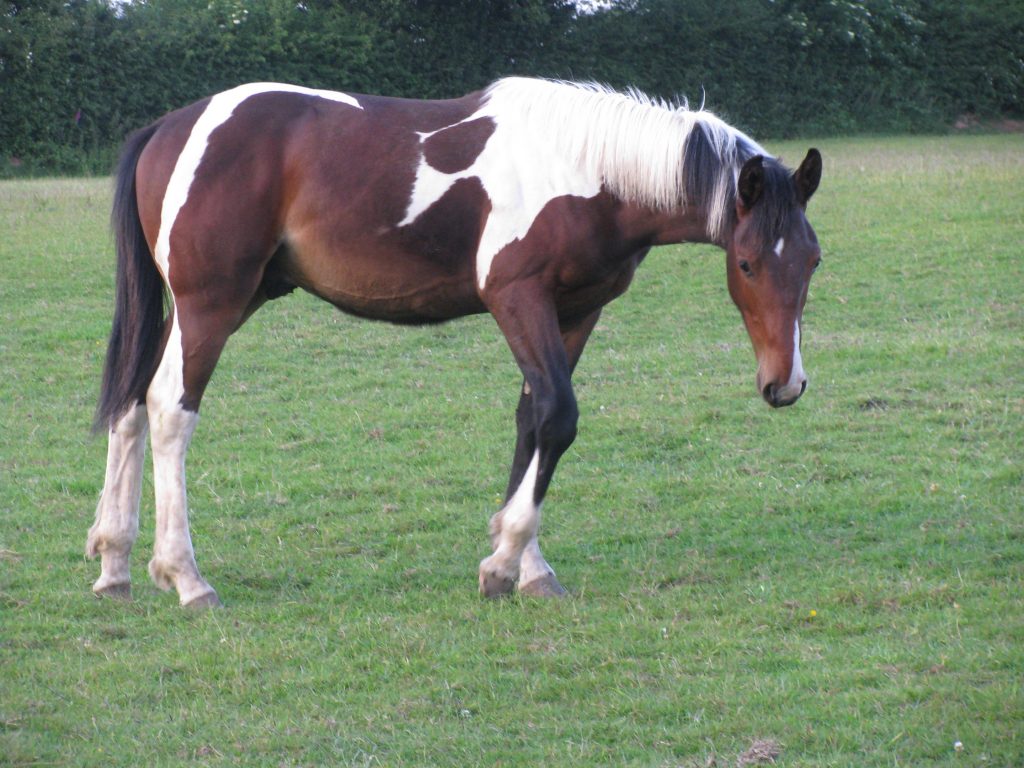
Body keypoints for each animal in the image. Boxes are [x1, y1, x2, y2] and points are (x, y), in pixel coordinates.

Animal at [88, 78, 823, 606]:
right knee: (169, 409)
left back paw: (115, 563)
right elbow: (558, 416)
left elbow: (534, 422)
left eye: (813, 261)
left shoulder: (574, 312)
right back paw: (185, 577)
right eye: (748, 263)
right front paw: (501, 564)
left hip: (214, 305)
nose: (784, 383)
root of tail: (171, 127)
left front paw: (528, 568)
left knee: (131, 402)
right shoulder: (518, 298)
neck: (585, 173)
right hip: (210, 304)